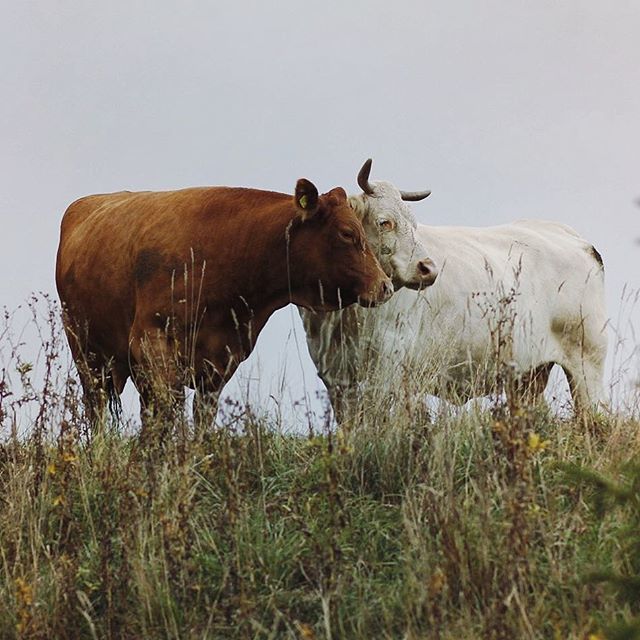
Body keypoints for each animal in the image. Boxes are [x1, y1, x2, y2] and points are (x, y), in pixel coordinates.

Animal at [56, 177, 393, 426]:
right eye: (347, 233)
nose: (385, 286)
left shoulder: (220, 359)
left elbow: (200, 416)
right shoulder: (153, 345)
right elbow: (166, 413)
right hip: (86, 353)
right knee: (97, 407)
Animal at [302, 177, 607, 421]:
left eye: (415, 224)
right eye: (384, 222)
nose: (428, 268)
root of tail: (572, 236)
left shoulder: (389, 365)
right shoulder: (334, 376)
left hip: (587, 361)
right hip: (528, 375)